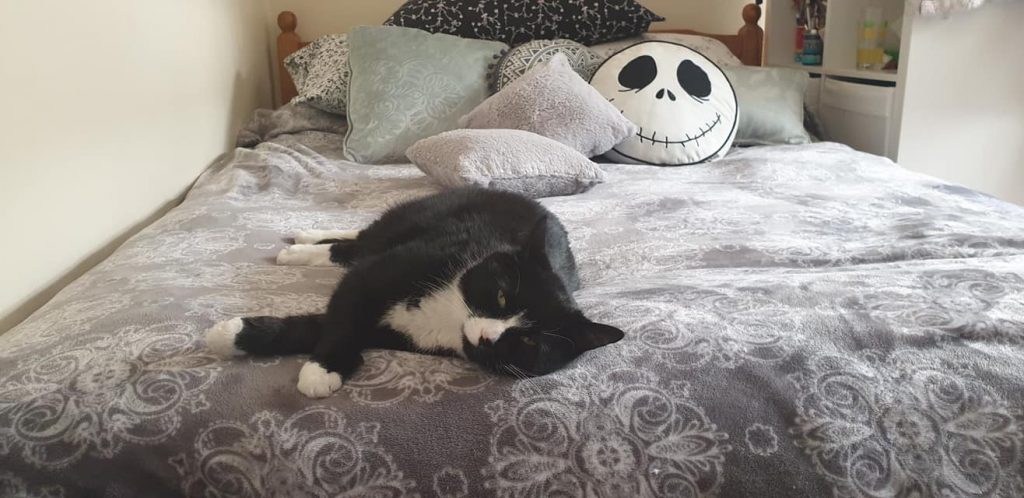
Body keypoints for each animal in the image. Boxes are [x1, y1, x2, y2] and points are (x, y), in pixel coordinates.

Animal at [204, 186, 622, 397]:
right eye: (503, 295)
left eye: (532, 341)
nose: (489, 337)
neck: (448, 313)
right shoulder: (380, 274)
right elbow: (344, 314)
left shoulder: (395, 332)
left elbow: (322, 326)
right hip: (409, 221)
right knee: (360, 241)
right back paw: (304, 242)